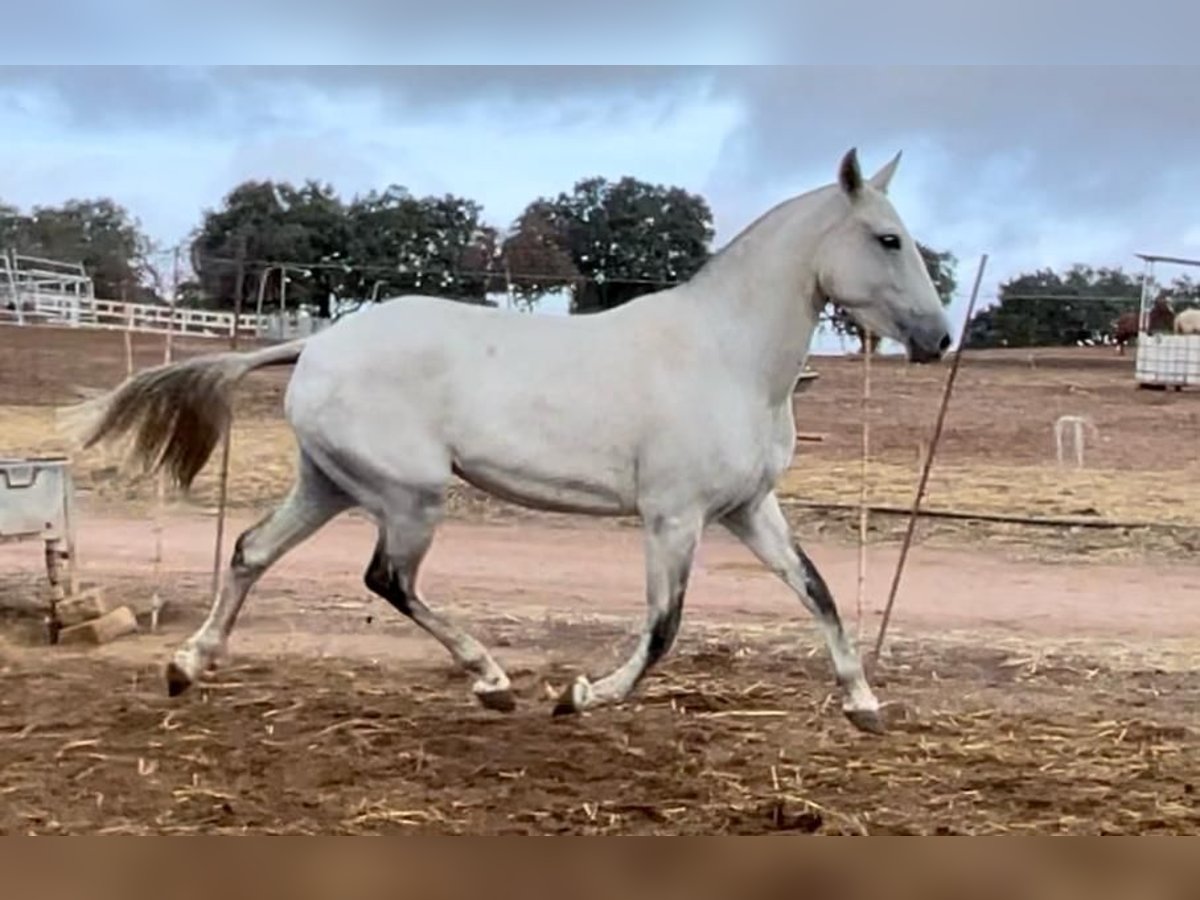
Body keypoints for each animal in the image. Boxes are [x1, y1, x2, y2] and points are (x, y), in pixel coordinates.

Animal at [68, 150, 945, 739]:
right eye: (887, 239)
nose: (937, 338)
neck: (725, 355)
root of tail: (314, 345)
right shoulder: (673, 516)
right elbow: (664, 627)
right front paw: (581, 695)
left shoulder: (748, 509)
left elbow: (818, 591)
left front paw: (866, 705)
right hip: (409, 496)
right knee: (387, 579)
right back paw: (492, 680)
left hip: (330, 484)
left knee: (253, 549)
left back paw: (186, 667)